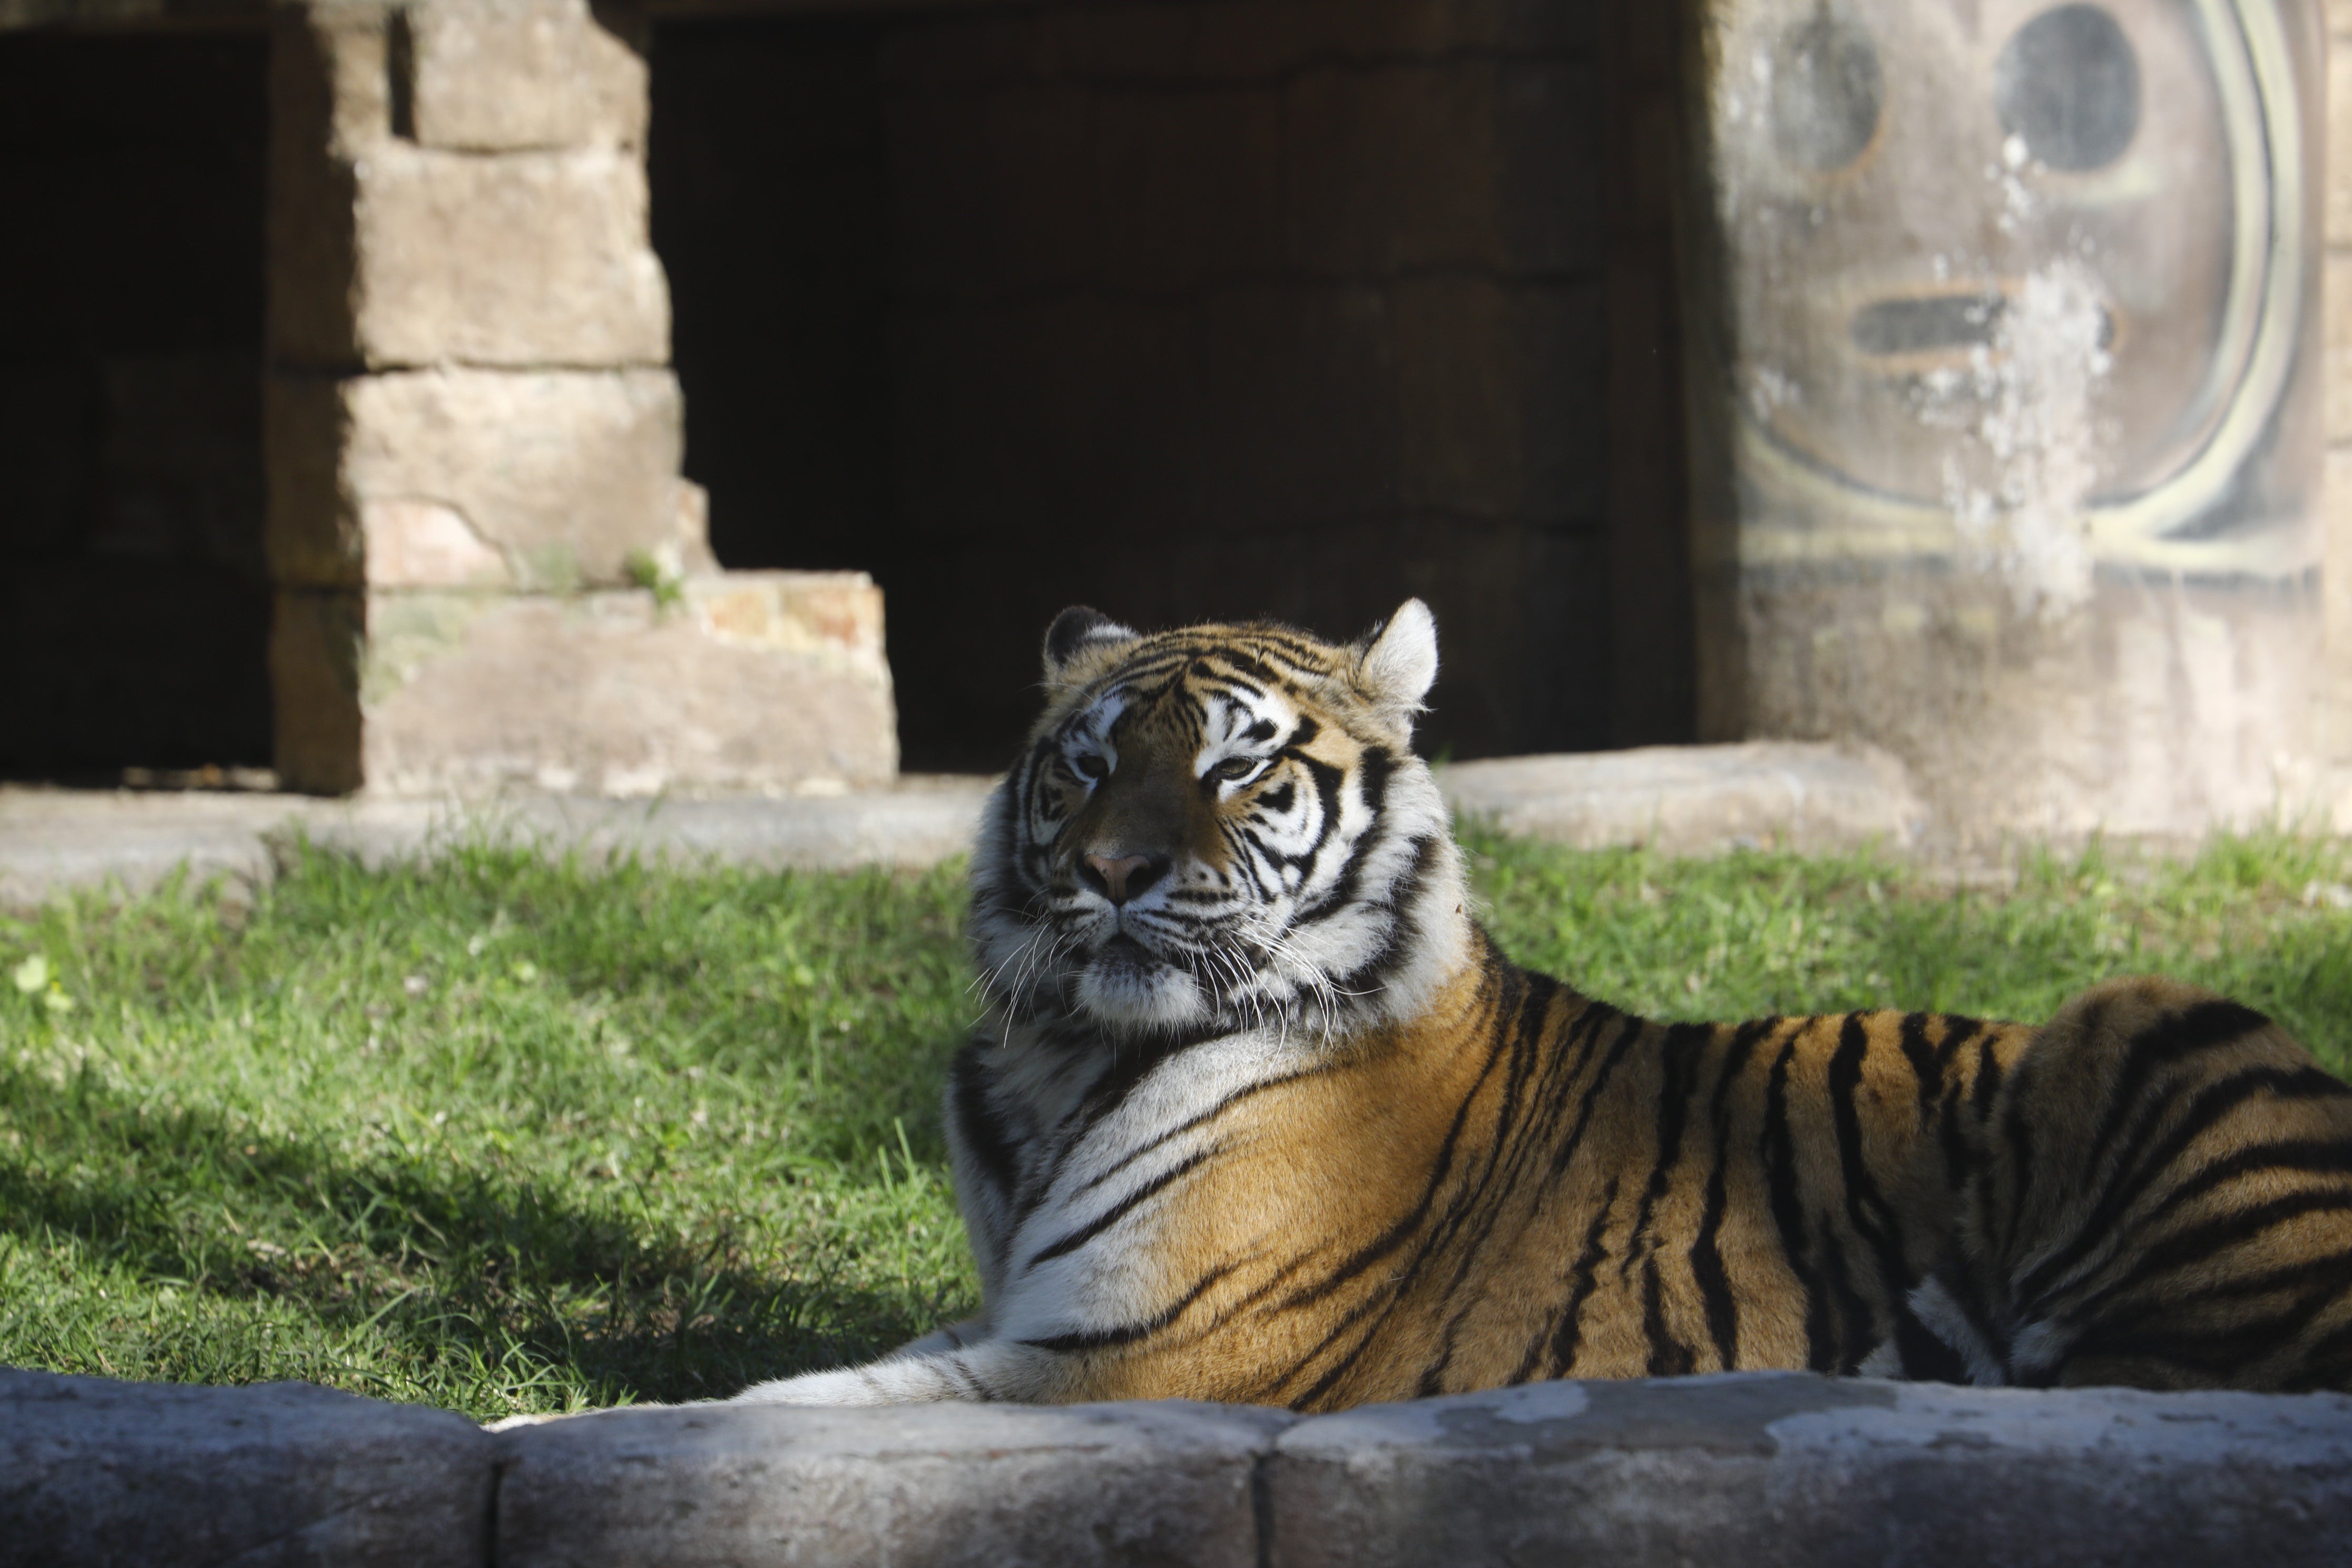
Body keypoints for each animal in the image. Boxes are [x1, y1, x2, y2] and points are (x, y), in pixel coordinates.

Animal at [738, 602, 2352, 1410]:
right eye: (1081, 767)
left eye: (1236, 769)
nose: (1110, 870)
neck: (1065, 1063)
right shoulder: (1024, 1316)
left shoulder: (1147, 1360)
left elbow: (781, 1410)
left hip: (2150, 1025)